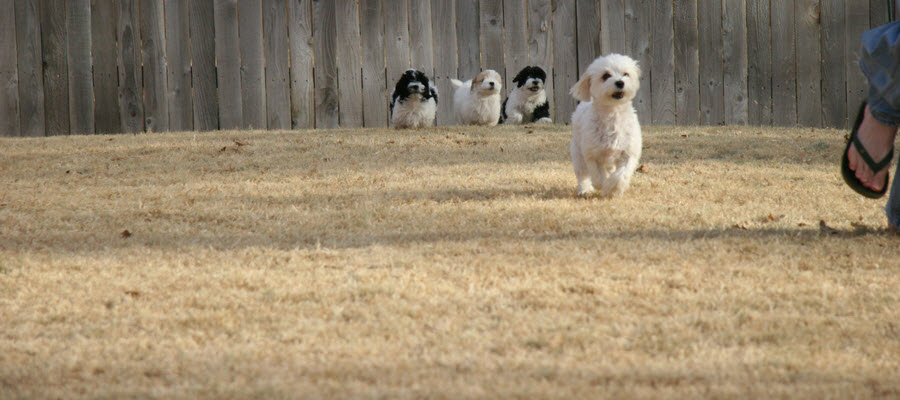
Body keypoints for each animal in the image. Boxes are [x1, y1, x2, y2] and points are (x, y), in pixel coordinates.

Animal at [568, 54, 640, 198]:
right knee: (582, 174)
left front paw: (613, 189)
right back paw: (584, 189)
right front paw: (605, 186)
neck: (613, 114)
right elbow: (599, 176)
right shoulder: (593, 154)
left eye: (626, 74)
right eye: (606, 75)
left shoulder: (628, 152)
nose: (620, 82)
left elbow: (620, 175)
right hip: (577, 152)